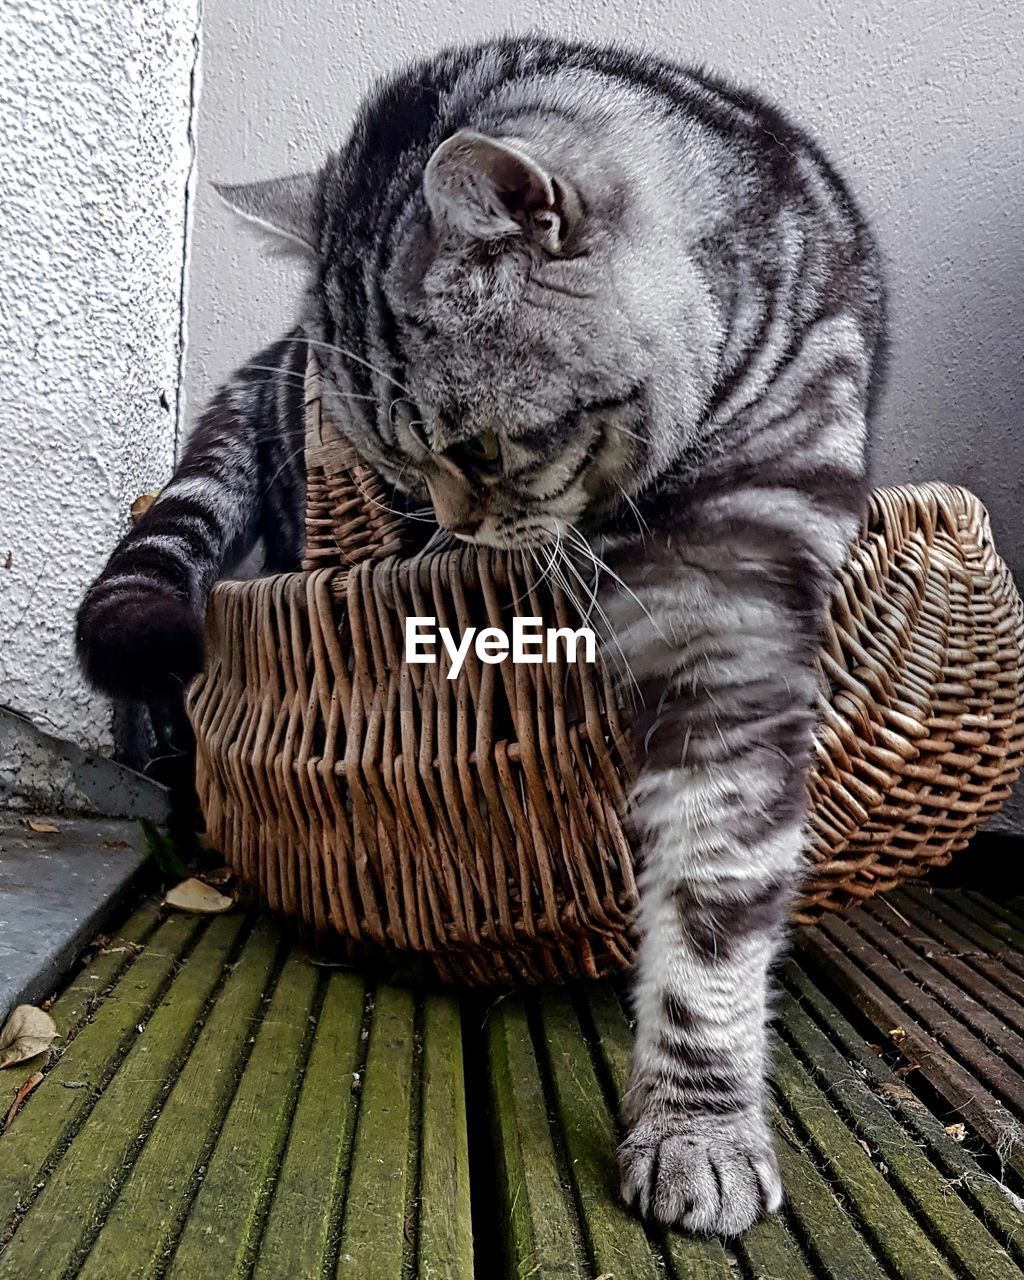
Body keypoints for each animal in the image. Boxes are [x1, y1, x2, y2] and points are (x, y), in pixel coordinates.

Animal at [78, 37, 880, 1239]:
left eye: (479, 450)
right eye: (394, 461)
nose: (445, 527)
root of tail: (268, 357)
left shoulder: (742, 624)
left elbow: (716, 902)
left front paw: (698, 1130)